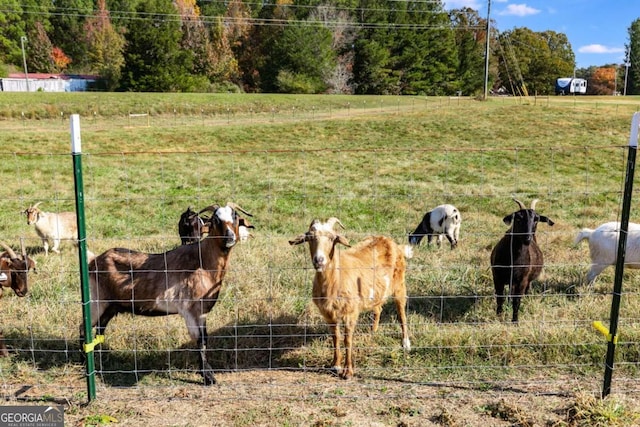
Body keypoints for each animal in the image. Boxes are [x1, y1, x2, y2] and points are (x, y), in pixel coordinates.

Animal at [84, 202, 252, 386]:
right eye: (215, 219)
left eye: (235, 216)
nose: (229, 237)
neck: (203, 262)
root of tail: (93, 261)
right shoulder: (191, 311)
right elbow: (200, 340)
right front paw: (208, 377)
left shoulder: (201, 313)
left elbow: (205, 339)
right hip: (96, 301)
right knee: (84, 329)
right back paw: (85, 363)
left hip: (111, 307)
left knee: (100, 330)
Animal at [288, 219, 412, 380]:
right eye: (310, 238)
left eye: (332, 238)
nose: (319, 260)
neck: (335, 280)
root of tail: (391, 242)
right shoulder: (328, 314)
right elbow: (335, 337)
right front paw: (335, 365)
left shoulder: (350, 312)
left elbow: (347, 339)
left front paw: (348, 372)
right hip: (375, 292)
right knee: (378, 308)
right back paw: (373, 331)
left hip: (399, 285)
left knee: (402, 313)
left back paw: (406, 343)